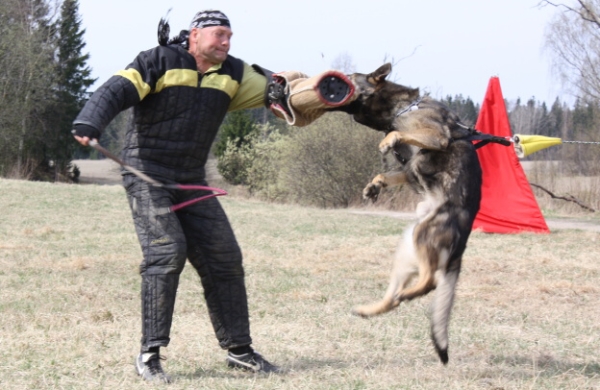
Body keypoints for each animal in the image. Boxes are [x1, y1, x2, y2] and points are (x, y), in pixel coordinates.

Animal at [332, 62, 496, 364]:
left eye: (349, 77)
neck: (402, 109)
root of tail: (461, 246)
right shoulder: (407, 170)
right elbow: (387, 174)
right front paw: (374, 186)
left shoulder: (435, 138)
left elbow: (399, 135)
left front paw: (389, 139)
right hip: (405, 253)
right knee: (397, 296)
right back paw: (371, 308)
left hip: (423, 234)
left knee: (431, 282)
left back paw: (408, 294)